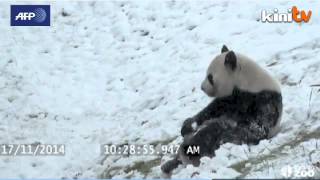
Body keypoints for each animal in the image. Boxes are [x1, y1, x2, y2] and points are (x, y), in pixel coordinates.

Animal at [161, 44, 282, 174]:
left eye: (210, 77)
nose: (202, 87)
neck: (247, 82)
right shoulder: (229, 99)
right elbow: (210, 111)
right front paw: (188, 125)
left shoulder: (264, 99)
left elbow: (258, 127)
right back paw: (170, 163)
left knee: (214, 131)